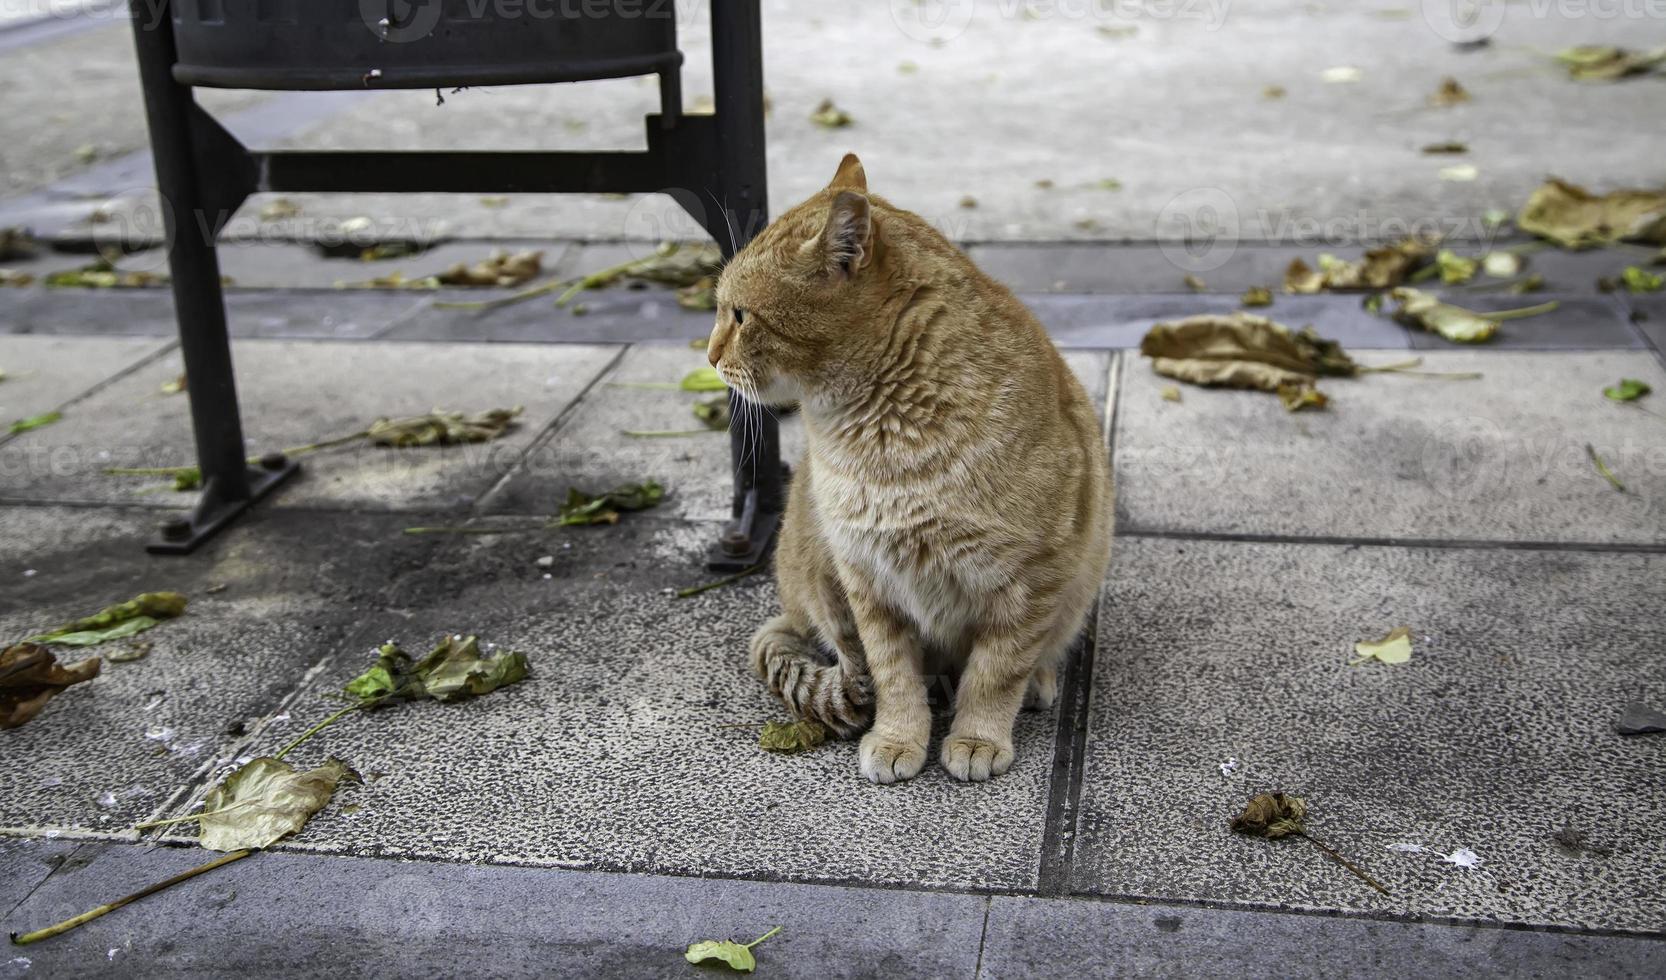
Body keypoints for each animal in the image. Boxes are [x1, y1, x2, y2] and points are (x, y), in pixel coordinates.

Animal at [709, 155, 1112, 780]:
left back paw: (1039, 682)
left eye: (741, 315)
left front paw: (977, 737)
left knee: (1039, 654)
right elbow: (894, 676)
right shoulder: (868, 583)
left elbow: (996, 674)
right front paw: (899, 737)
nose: (708, 355)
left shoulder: (1033, 581)